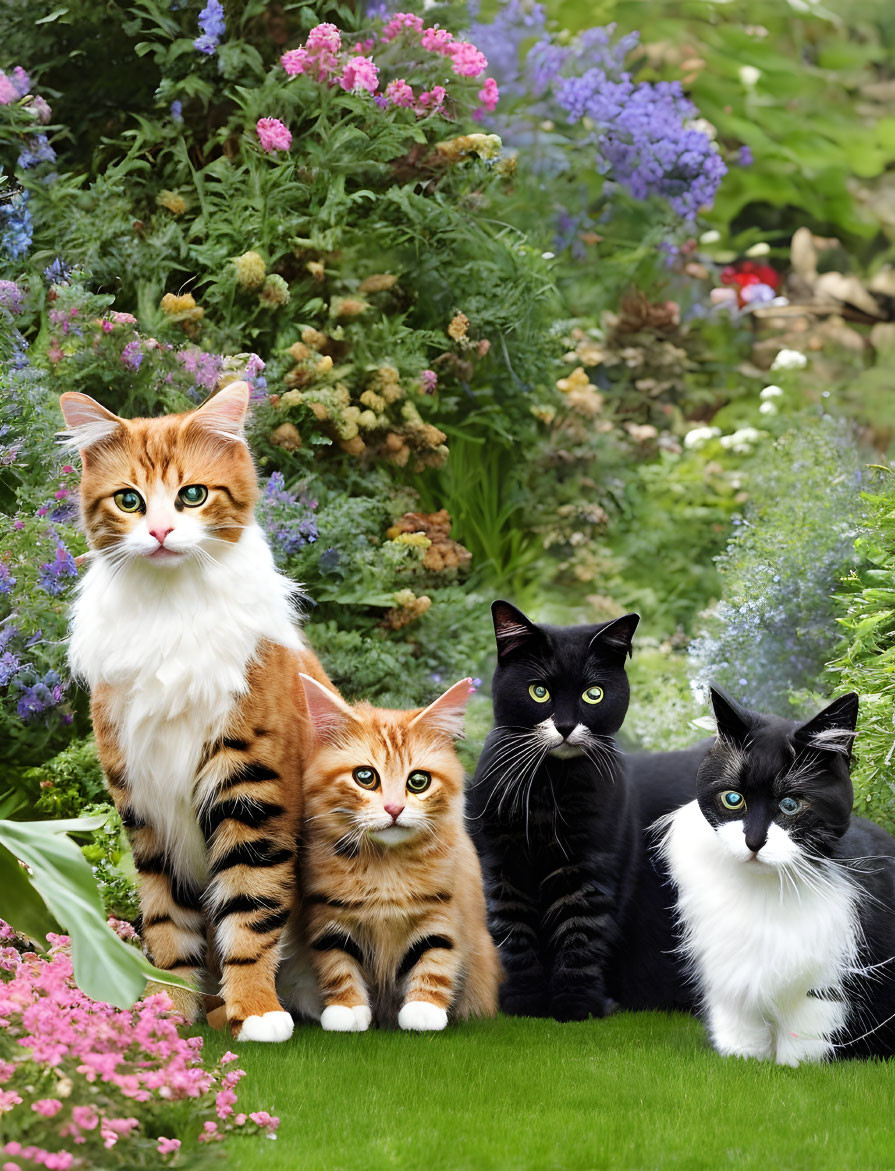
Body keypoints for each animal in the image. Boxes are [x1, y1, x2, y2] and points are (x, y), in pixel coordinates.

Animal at [59, 384, 337, 1044]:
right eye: (129, 500)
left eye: (193, 494)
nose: (160, 531)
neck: (170, 611)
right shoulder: (145, 804)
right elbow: (167, 920)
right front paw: (168, 1012)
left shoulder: (251, 788)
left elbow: (249, 907)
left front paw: (256, 1011)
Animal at [277, 674, 499, 1030]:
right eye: (365, 777)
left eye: (418, 781)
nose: (394, 808)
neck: (385, 867)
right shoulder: (328, 915)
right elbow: (338, 965)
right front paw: (346, 1009)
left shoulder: (442, 909)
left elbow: (435, 958)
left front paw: (424, 1010)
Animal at [468, 599, 641, 1021]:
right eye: (539, 691)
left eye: (593, 694)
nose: (564, 725)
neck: (549, 784)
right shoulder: (501, 861)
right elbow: (511, 929)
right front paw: (524, 1002)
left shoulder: (588, 859)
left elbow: (581, 928)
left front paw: (576, 1006)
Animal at [660, 683, 895, 1063]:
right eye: (732, 799)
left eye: (790, 805)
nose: (753, 841)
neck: (765, 888)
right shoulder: (729, 964)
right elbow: (737, 1019)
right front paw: (741, 1059)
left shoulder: (826, 968)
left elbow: (808, 1026)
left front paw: (792, 1066)